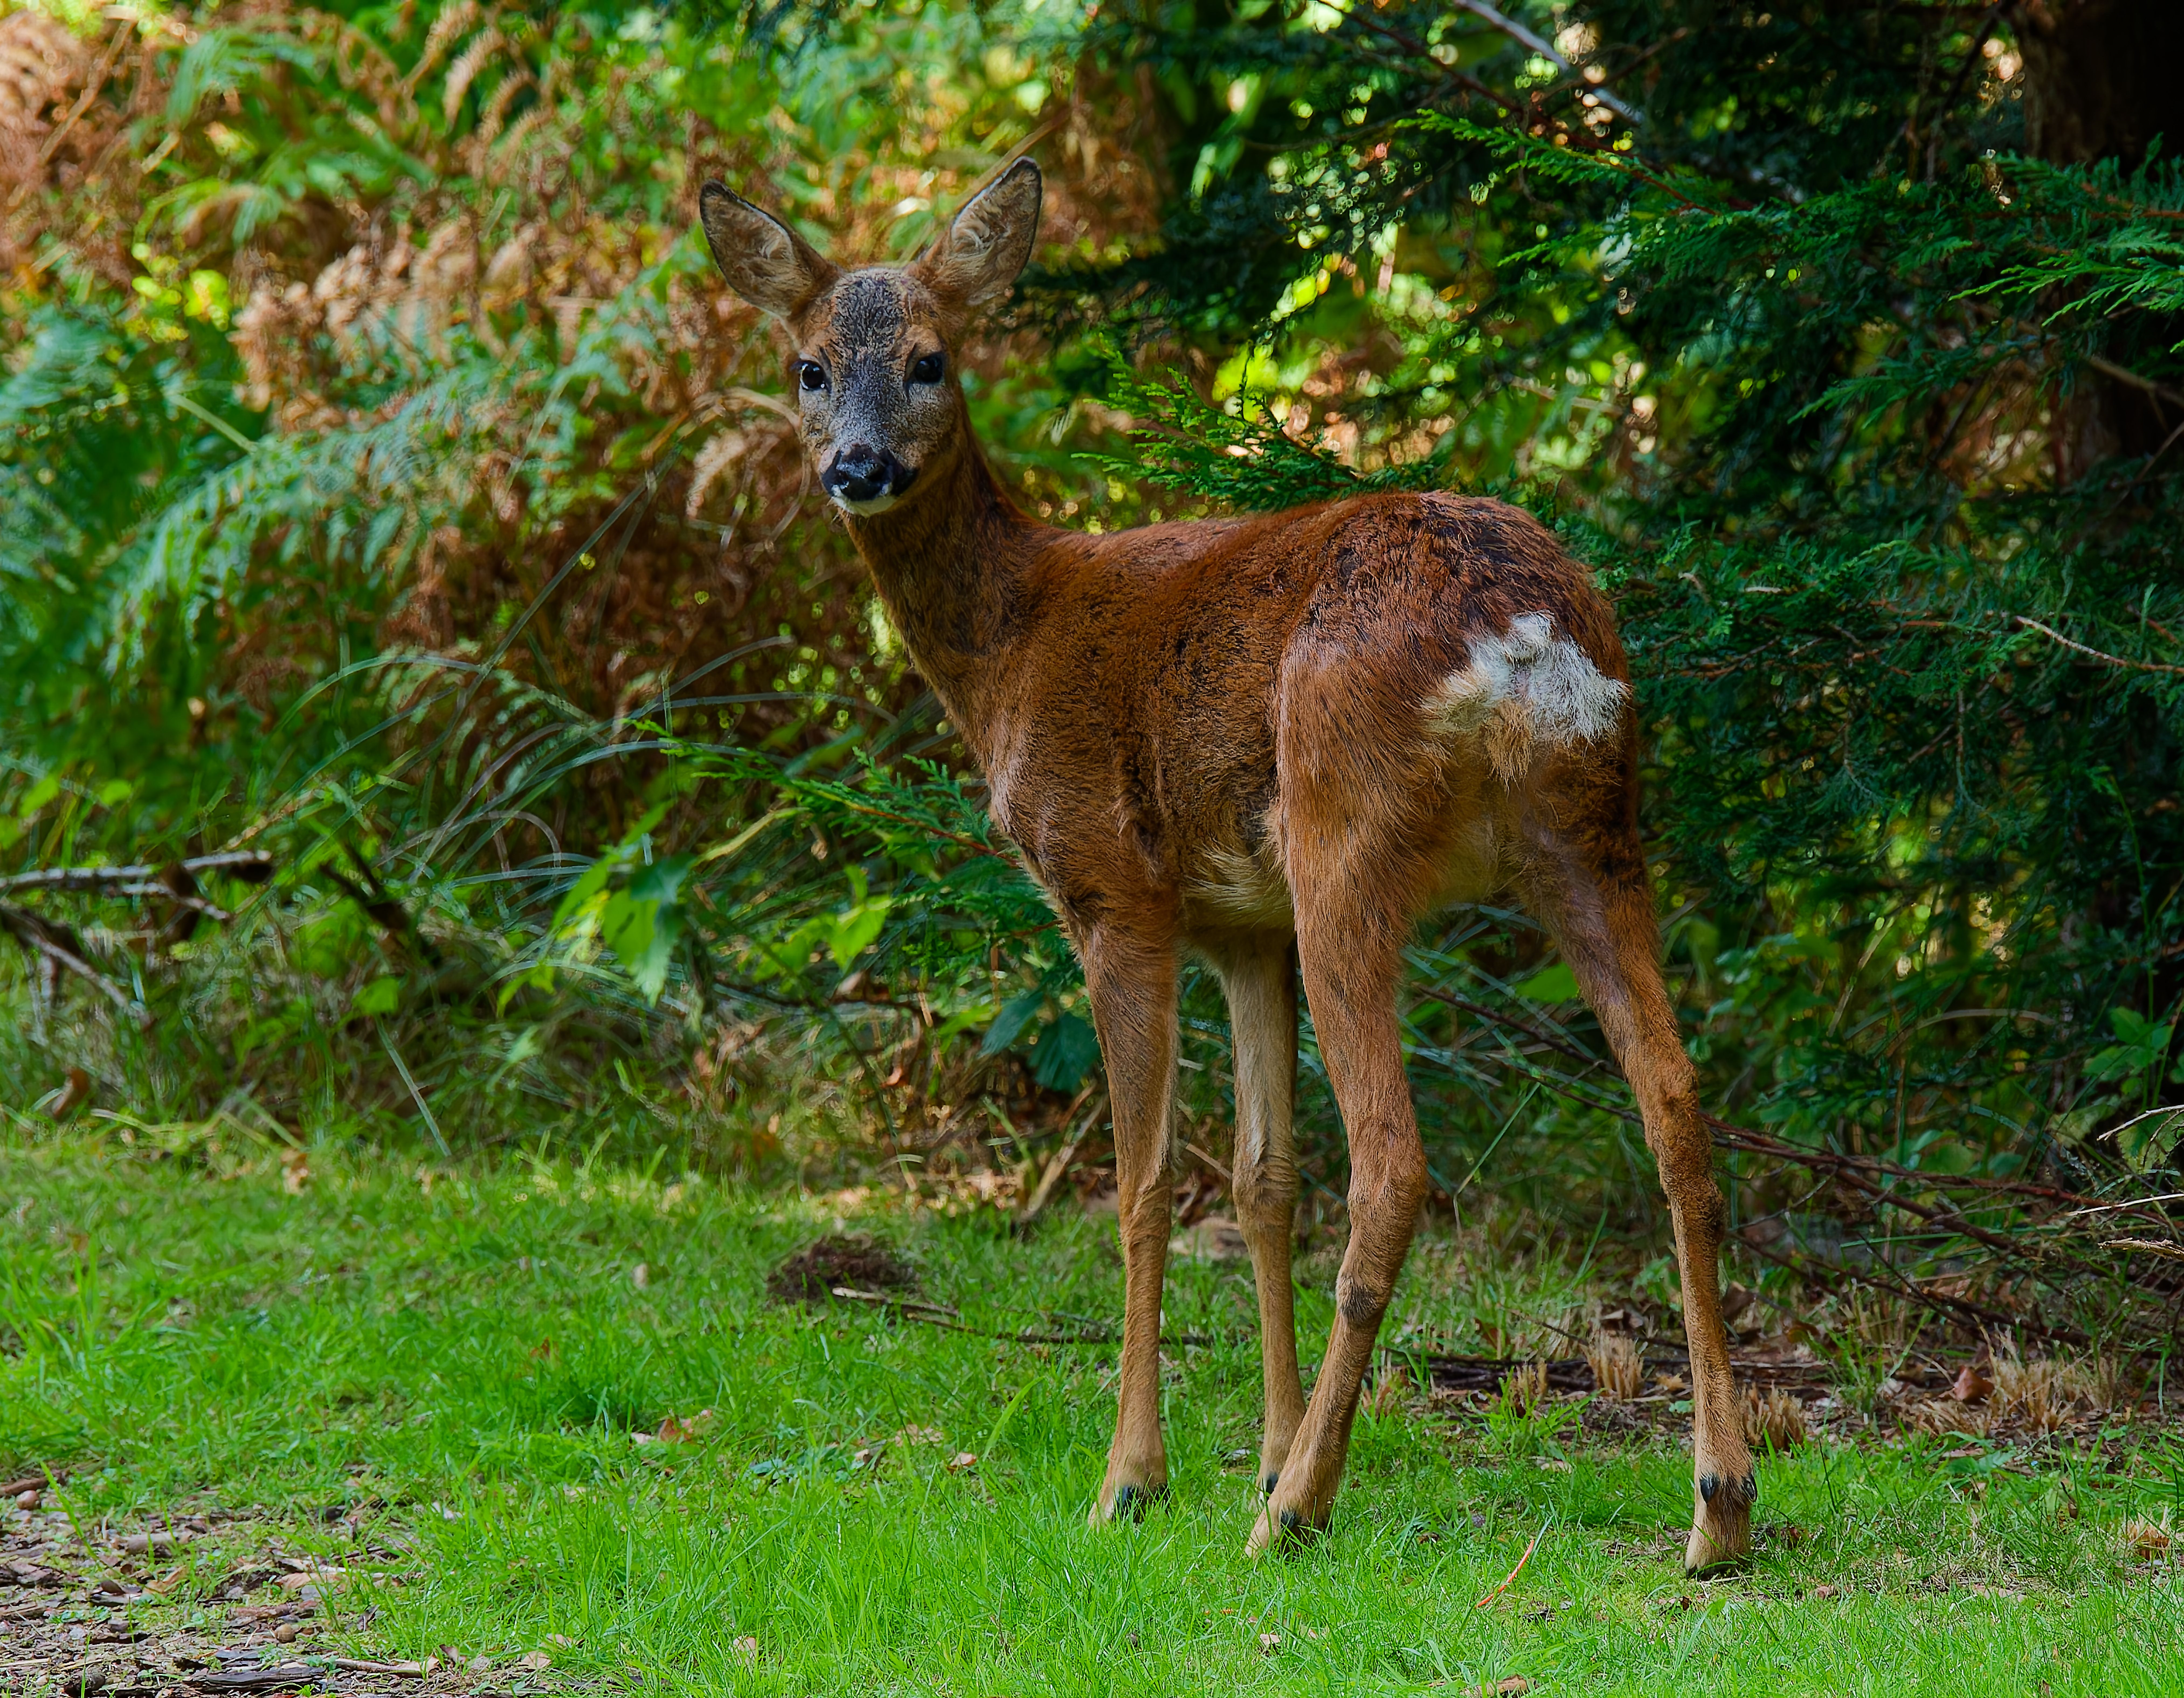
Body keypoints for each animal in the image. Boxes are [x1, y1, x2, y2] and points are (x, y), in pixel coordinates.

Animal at [697, 157, 1755, 1573]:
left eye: (930, 358)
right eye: (807, 366)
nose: (857, 466)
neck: (1010, 641)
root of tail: (1523, 633)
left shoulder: (1114, 890)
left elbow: (1144, 1185)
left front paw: (1135, 1478)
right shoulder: (1241, 927)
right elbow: (1260, 1182)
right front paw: (1253, 1446)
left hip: (1343, 834)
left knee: (1394, 1158)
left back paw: (1297, 1507)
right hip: (1595, 831)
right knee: (1677, 1108)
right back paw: (1716, 1505)